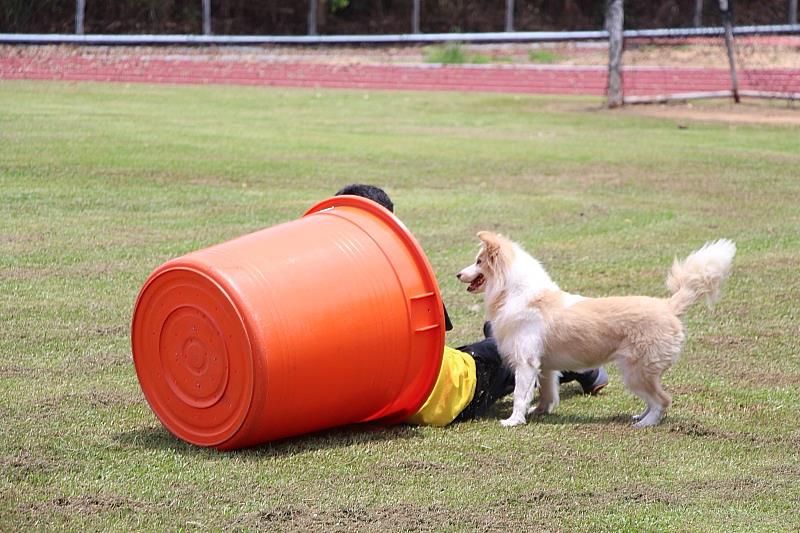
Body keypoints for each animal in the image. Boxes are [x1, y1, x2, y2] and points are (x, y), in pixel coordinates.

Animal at [460, 233, 736, 428]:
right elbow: (547, 392)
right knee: (655, 399)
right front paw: (538, 411)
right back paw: (639, 417)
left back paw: (646, 423)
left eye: (478, 261)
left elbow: (520, 394)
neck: (516, 293)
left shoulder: (525, 363)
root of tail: (669, 306)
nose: (457, 274)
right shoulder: (545, 366)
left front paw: (513, 421)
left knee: (662, 400)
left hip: (635, 371)